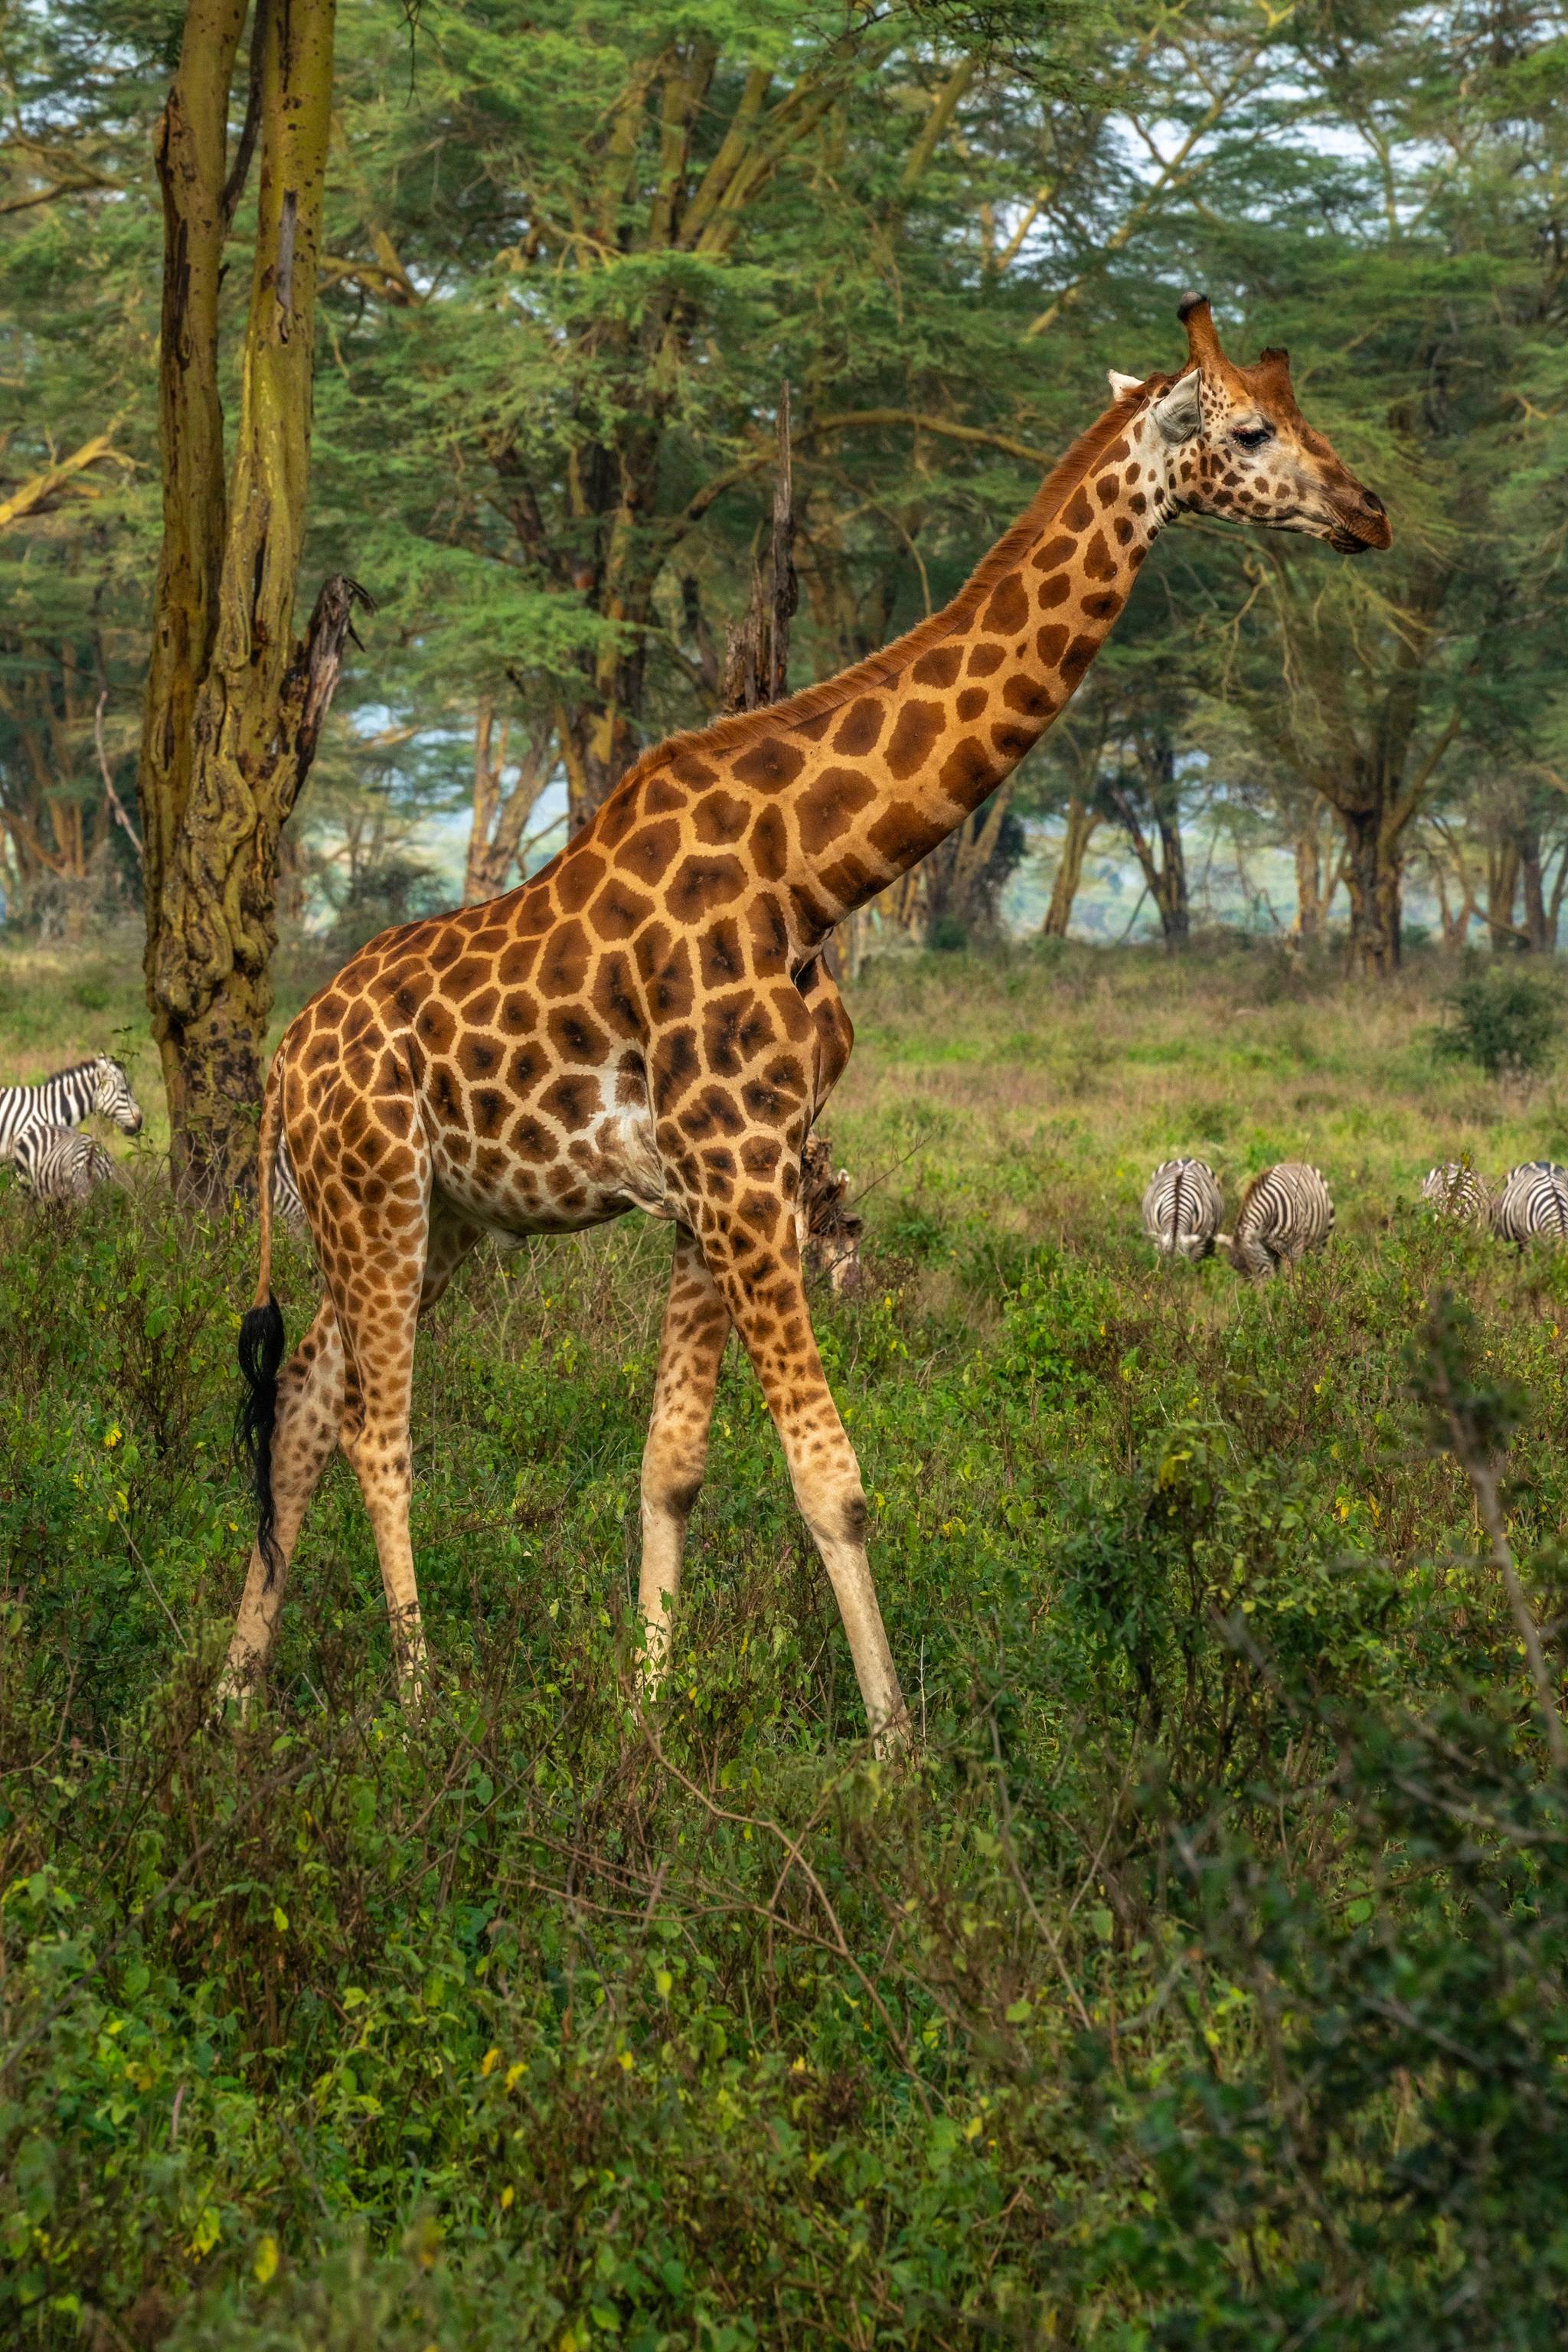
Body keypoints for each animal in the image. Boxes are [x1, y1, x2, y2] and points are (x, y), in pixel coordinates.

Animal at [1213, 1161, 1335, 1289]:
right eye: (1237, 1269)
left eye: (1257, 1265)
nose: (1256, 1294)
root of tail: (1298, 1164)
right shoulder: (1268, 1250)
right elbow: (1276, 1278)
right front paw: (1277, 1292)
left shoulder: (1296, 1247)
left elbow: (1292, 1276)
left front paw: (1293, 1292)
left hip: (1321, 1241)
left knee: (1316, 1265)